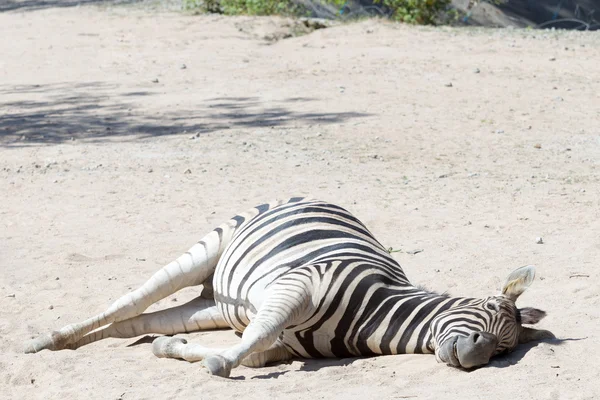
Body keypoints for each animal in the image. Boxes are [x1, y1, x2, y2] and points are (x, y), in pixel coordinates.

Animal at [27, 198, 552, 376]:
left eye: (503, 349)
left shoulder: (284, 343)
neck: (373, 316)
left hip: (211, 305)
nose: (474, 357)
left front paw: (172, 350)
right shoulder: (298, 285)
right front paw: (218, 365)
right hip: (207, 251)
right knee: (125, 302)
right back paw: (45, 340)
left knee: (132, 323)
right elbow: (252, 341)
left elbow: (253, 348)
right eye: (487, 315)